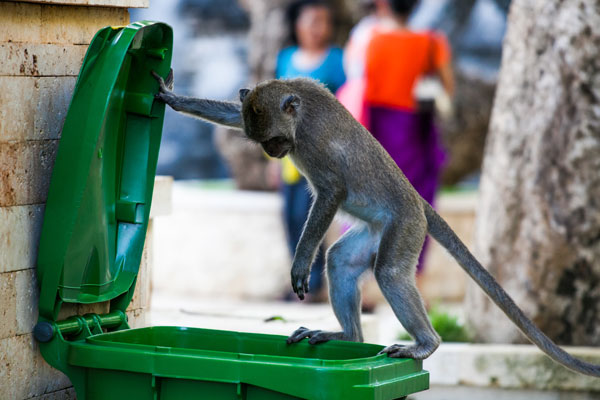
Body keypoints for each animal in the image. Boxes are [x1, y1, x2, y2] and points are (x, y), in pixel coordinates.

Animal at [151, 69, 600, 378]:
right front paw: (172, 97)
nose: (273, 154)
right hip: (376, 232)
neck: (299, 111)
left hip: (404, 227)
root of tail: (419, 202)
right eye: (262, 141)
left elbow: (331, 192)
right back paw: (349, 337)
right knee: (341, 260)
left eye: (274, 141)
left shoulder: (313, 144)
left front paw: (300, 264)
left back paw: (425, 344)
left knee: (389, 271)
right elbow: (231, 113)